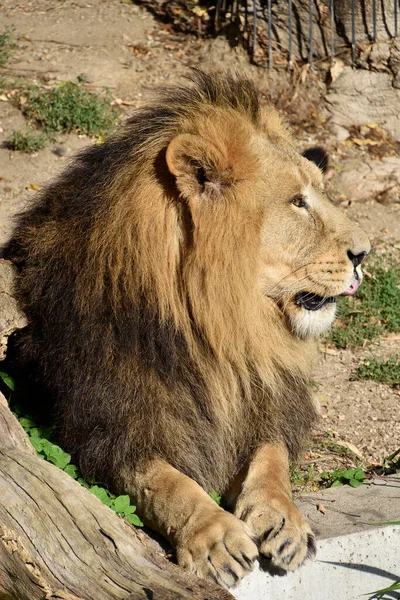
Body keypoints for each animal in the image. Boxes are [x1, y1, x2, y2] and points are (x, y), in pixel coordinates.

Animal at [3, 70, 370, 584]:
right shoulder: (106, 426)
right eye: (297, 202)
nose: (365, 253)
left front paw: (284, 520)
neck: (222, 328)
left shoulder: (265, 398)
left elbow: (271, 459)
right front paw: (214, 538)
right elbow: (165, 483)